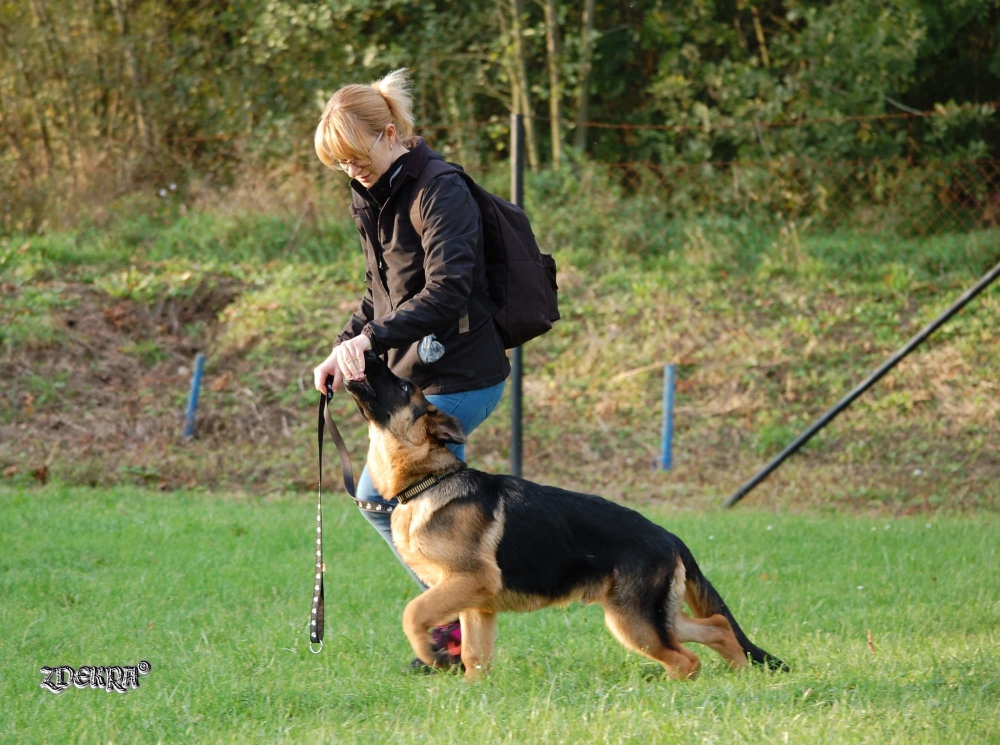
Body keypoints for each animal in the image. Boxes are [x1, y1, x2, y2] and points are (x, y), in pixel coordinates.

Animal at [348, 354, 784, 680]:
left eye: (406, 387)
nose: (367, 352)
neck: (427, 482)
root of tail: (669, 535)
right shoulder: (477, 603)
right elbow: (475, 657)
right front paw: (472, 693)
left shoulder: (469, 581)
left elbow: (413, 613)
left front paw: (430, 652)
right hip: (653, 615)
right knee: (718, 627)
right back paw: (741, 674)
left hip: (634, 622)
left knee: (686, 660)